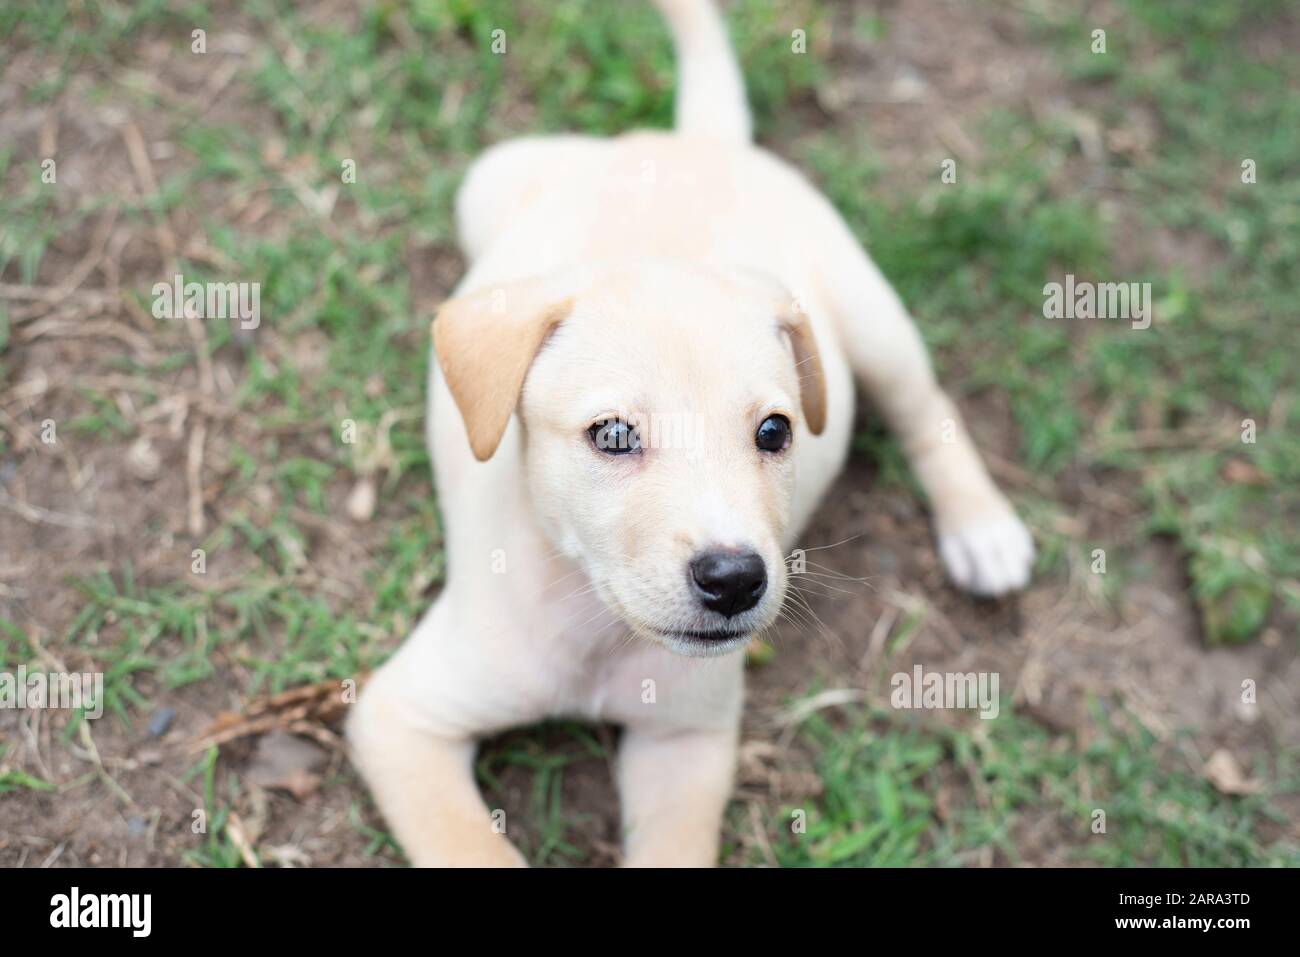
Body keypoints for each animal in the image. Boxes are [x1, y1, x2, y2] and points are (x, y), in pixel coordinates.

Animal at [348, 0, 1034, 868]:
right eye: (612, 435)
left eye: (774, 431)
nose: (734, 580)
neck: (599, 620)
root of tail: (698, 141)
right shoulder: (404, 717)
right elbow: (472, 847)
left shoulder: (686, 742)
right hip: (487, 182)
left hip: (869, 312)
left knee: (925, 405)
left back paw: (982, 527)